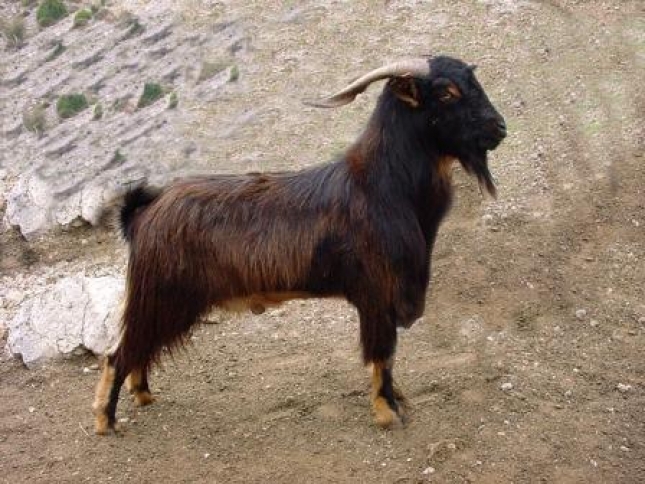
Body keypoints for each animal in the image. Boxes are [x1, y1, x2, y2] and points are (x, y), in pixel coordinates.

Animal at [93, 55, 506, 434]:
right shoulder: (377, 295)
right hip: (163, 296)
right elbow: (382, 354)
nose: (499, 128)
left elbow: (388, 356)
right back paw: (105, 421)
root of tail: (142, 214)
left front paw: (398, 401)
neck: (383, 187)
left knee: (137, 351)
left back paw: (143, 395)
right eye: (447, 92)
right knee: (118, 355)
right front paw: (388, 412)